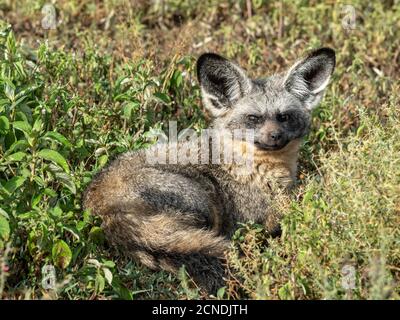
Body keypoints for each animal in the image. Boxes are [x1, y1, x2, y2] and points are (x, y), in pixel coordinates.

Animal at [83, 47, 336, 292]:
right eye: (253, 118)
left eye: (284, 117)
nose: (275, 136)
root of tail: (105, 208)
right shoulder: (255, 219)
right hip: (203, 199)